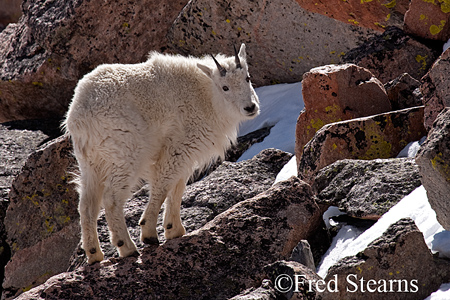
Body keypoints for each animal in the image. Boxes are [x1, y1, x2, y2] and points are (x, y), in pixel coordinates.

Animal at [63, 43, 260, 264]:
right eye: (225, 87)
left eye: (247, 78)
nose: (250, 107)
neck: (207, 95)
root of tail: (79, 116)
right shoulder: (179, 146)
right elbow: (164, 185)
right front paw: (149, 233)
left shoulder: (186, 154)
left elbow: (178, 187)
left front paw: (174, 230)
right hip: (126, 153)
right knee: (112, 199)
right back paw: (127, 247)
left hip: (90, 161)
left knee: (87, 205)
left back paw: (94, 253)